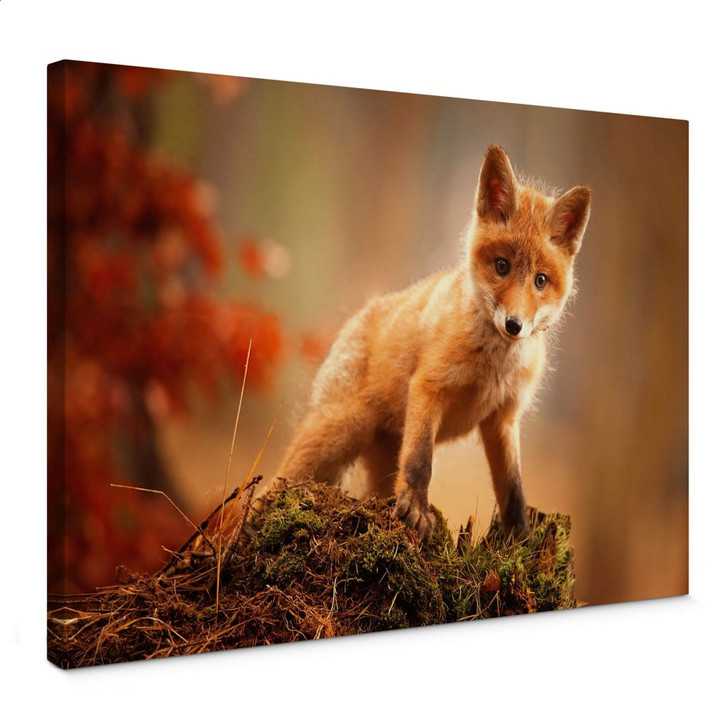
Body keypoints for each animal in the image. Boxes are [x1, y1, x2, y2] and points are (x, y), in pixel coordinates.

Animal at [278, 144, 591, 543]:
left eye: (540, 280)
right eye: (502, 266)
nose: (514, 325)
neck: (492, 367)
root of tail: (359, 315)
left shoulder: (503, 418)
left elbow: (513, 488)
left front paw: (519, 535)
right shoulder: (429, 387)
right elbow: (419, 462)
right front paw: (415, 508)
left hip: (377, 459)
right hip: (337, 433)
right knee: (271, 485)